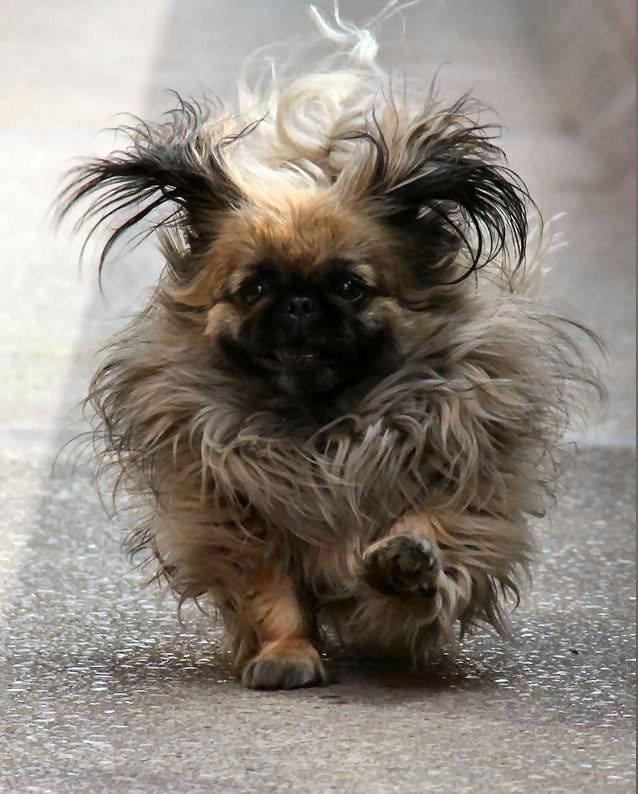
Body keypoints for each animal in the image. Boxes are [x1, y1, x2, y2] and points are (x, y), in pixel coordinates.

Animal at [56, 6, 604, 688]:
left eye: (348, 286)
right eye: (255, 287)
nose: (300, 302)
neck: (321, 428)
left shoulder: (464, 480)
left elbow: (435, 527)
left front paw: (407, 564)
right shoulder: (237, 520)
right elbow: (271, 595)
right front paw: (285, 655)